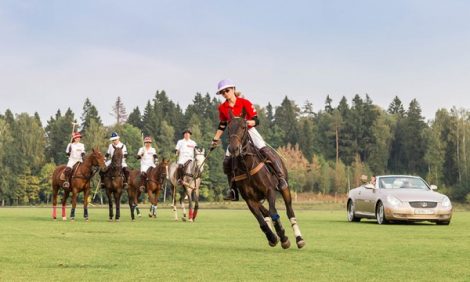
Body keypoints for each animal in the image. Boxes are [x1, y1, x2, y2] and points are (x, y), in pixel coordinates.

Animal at [226, 110, 306, 249]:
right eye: (229, 128)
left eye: (243, 127)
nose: (233, 149)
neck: (247, 166)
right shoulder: (250, 200)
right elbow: (262, 221)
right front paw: (273, 237)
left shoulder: (269, 190)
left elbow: (273, 212)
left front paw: (283, 237)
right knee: (265, 213)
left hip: (285, 187)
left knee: (289, 211)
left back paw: (299, 239)